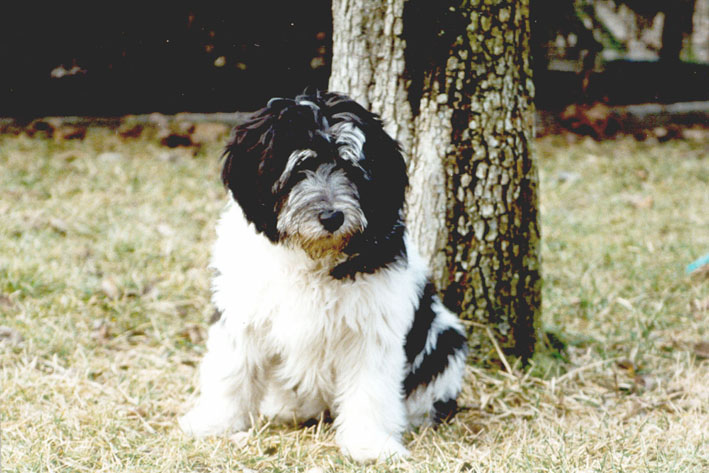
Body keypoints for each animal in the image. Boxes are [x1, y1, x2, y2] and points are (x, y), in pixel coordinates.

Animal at [179, 91, 468, 462]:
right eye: (300, 167)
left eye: (351, 168)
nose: (332, 216)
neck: (311, 256)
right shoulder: (243, 309)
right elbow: (231, 369)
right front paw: (215, 422)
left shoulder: (372, 329)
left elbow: (370, 388)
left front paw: (369, 444)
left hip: (445, 341)